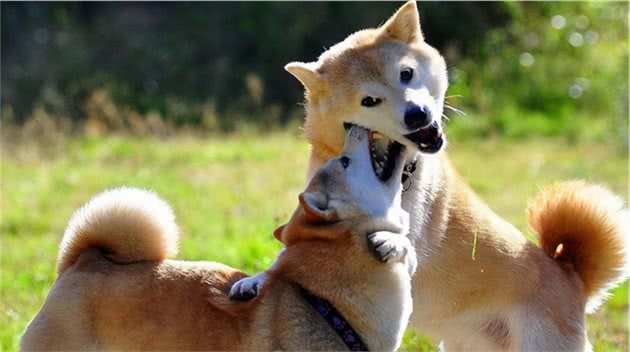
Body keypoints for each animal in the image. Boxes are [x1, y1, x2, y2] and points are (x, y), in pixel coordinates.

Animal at [233, 1, 630, 350]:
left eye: (406, 74)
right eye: (369, 100)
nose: (417, 114)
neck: (399, 175)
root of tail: (570, 276)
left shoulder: (410, 230)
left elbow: (405, 242)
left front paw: (393, 243)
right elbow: (285, 253)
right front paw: (256, 279)